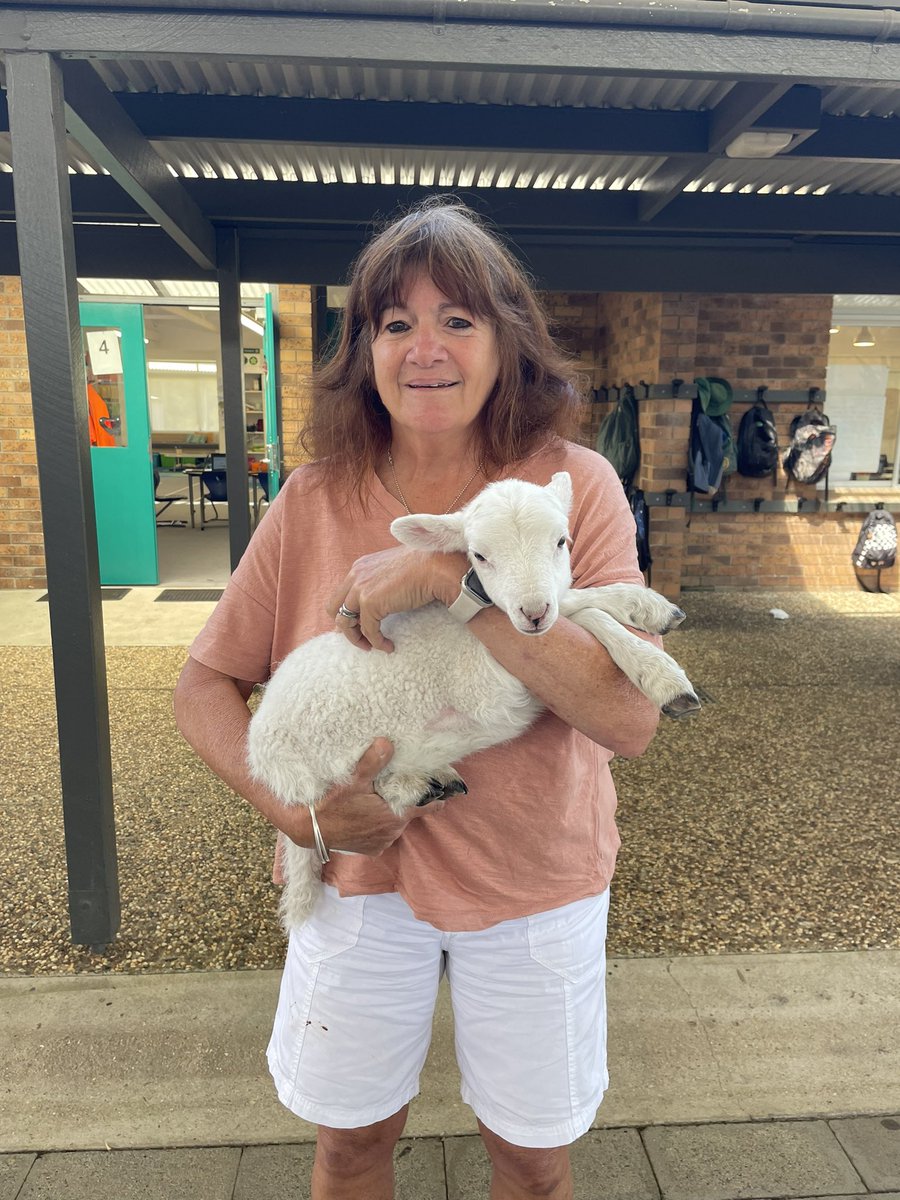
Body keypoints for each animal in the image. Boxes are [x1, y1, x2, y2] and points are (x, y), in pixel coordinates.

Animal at [247, 471, 699, 929]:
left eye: (561, 541)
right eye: (479, 556)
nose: (533, 613)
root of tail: (265, 761)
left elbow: (576, 599)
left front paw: (645, 606)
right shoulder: (492, 683)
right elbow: (583, 612)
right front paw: (662, 675)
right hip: (327, 762)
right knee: (354, 799)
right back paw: (412, 789)